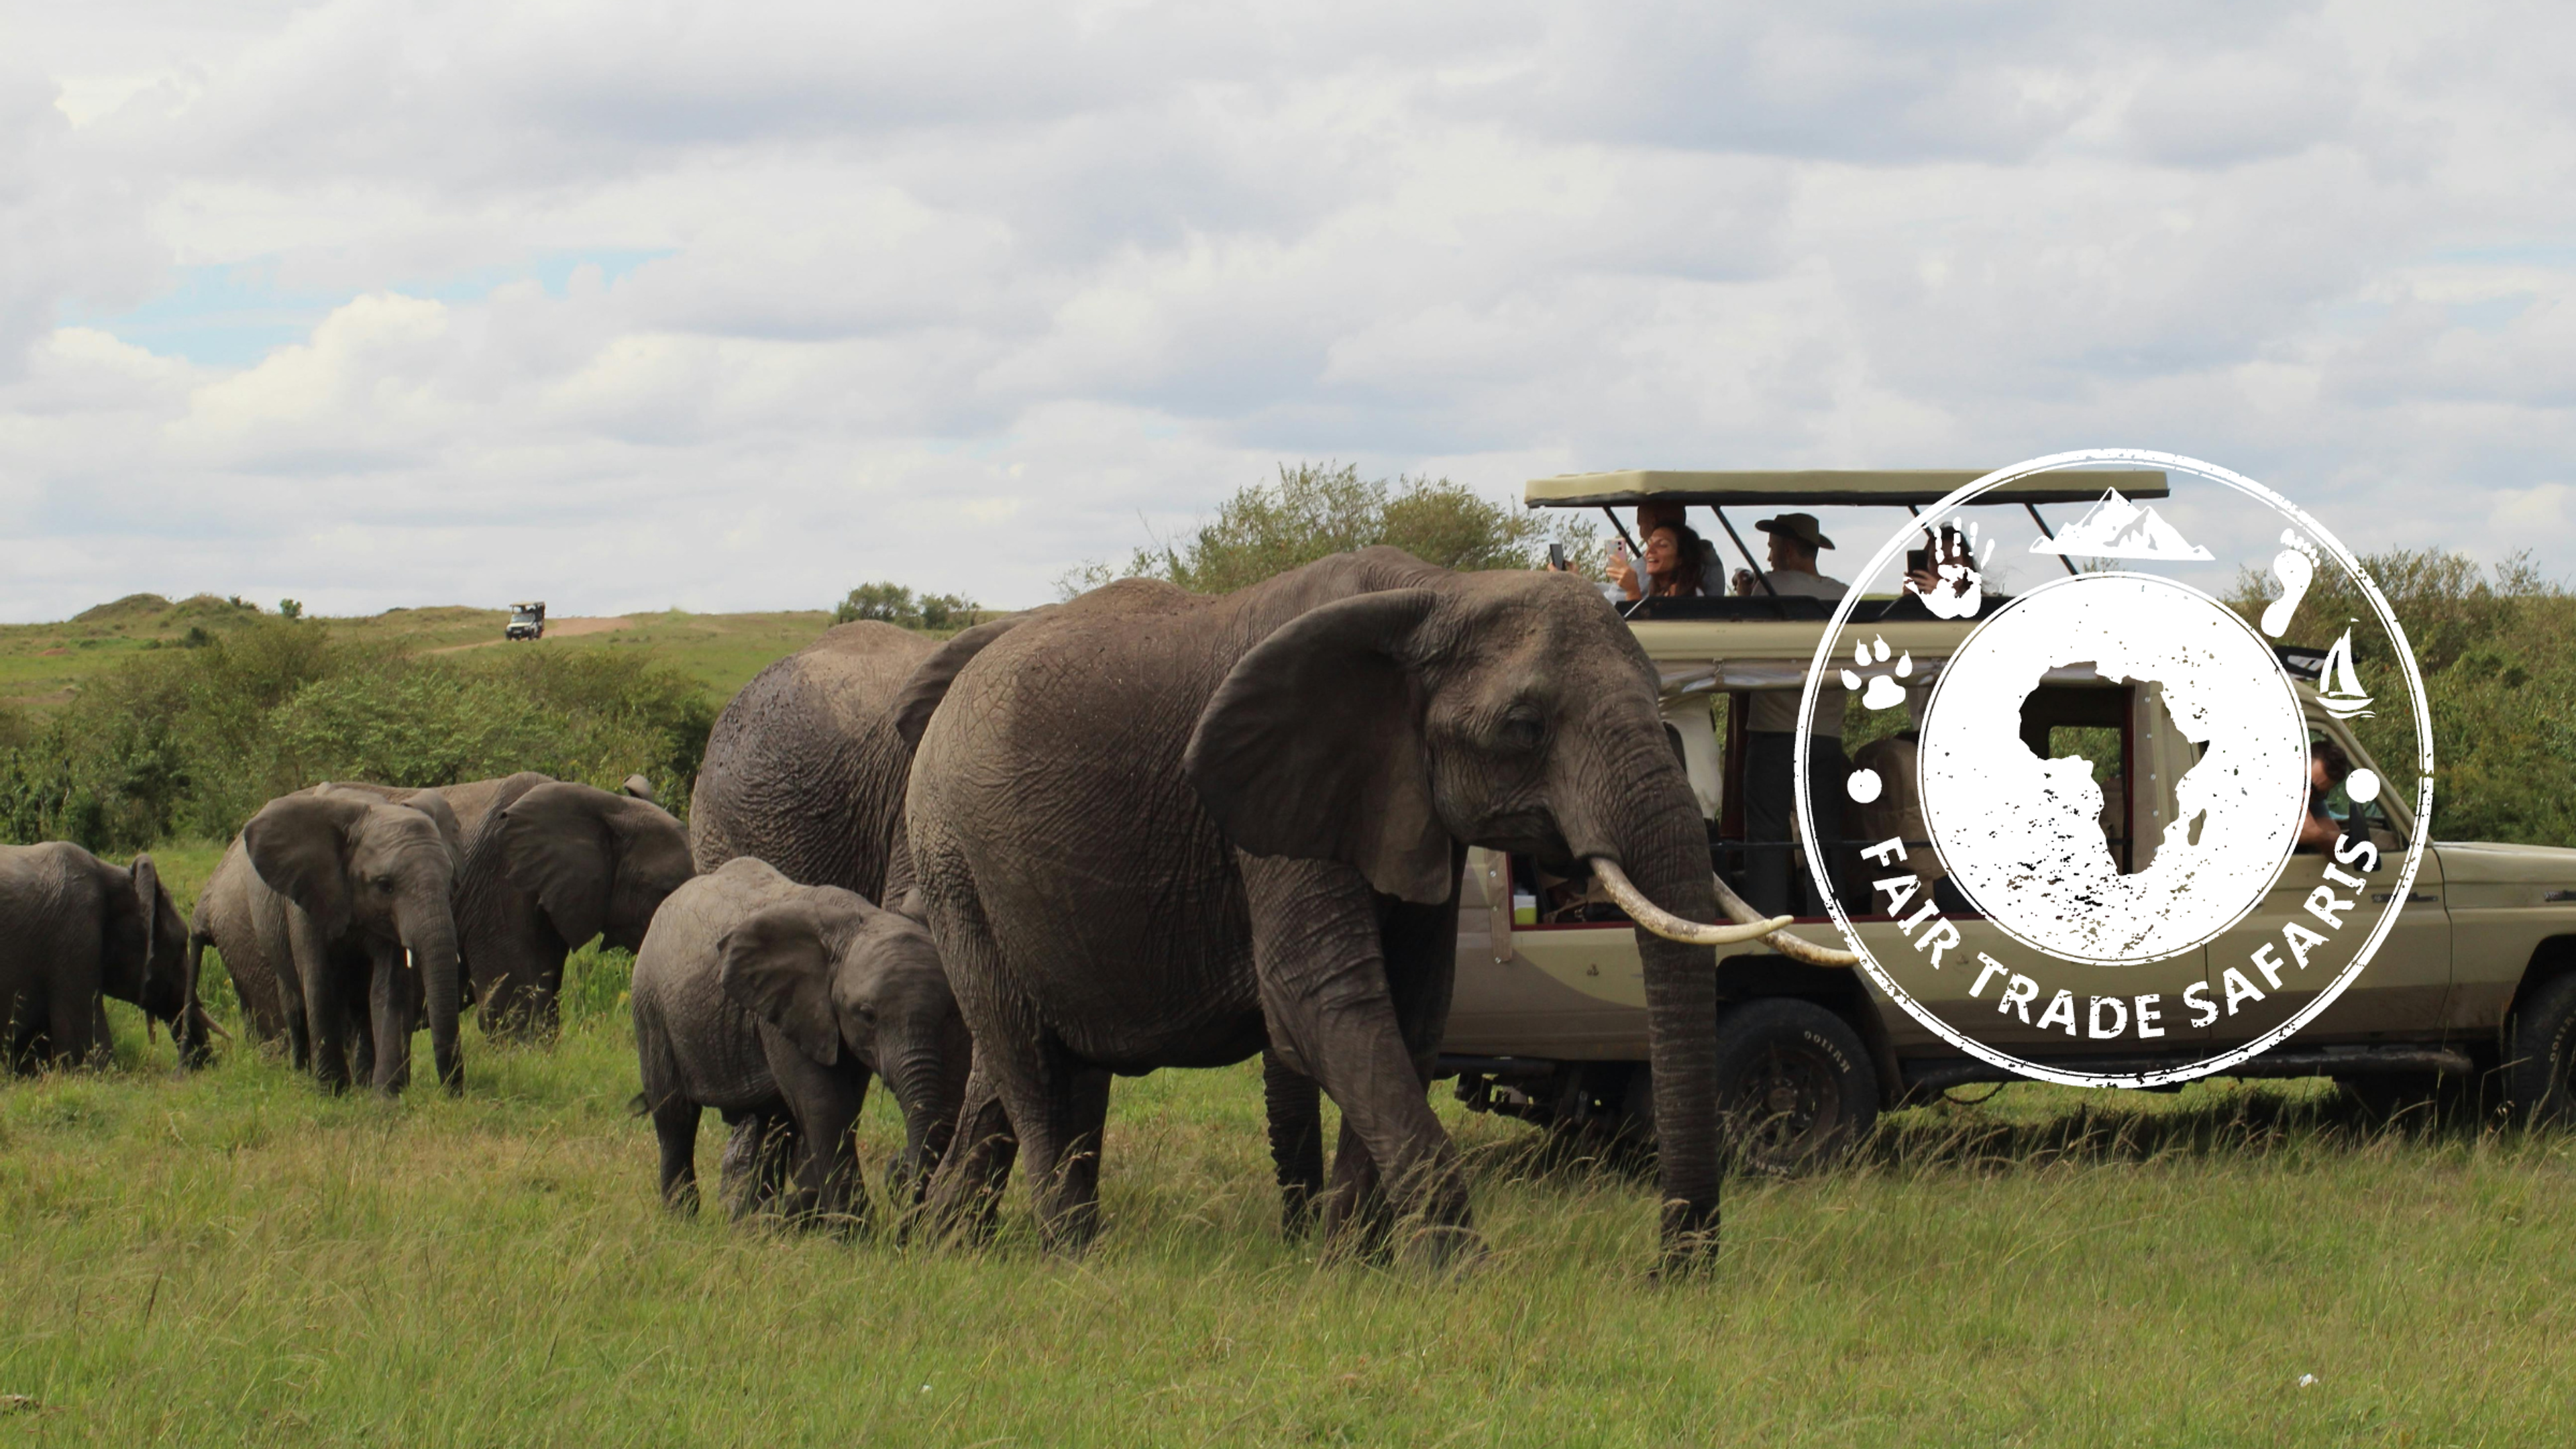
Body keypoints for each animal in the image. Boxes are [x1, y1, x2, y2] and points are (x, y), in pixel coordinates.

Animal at [189, 784, 467, 1094]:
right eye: (385, 886)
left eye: (450, 880)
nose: (451, 1093)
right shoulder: (308, 901)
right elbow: (321, 984)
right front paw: (333, 1092)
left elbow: (389, 989)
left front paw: (386, 1096)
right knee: (295, 1007)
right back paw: (302, 1075)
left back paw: (363, 1083)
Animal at [632, 857, 970, 1226]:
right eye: (867, 1015)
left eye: (951, 1013)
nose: (899, 1168)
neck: (853, 921)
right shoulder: (788, 1013)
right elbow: (825, 1106)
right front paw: (853, 1231)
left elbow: (844, 1104)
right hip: (651, 1005)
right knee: (675, 1115)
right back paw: (683, 1218)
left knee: (773, 1125)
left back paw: (748, 1220)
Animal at [905, 547, 1837, 1267]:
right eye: (1523, 728)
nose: (1670, 1274)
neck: (1440, 592)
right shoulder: (1278, 803)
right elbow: (1322, 1000)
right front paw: (1462, 1281)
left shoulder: (1402, 804)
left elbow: (1413, 1008)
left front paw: (1353, 1270)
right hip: (952, 855)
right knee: (1025, 1055)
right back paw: (1071, 1258)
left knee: (1034, 1058)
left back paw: (950, 1250)